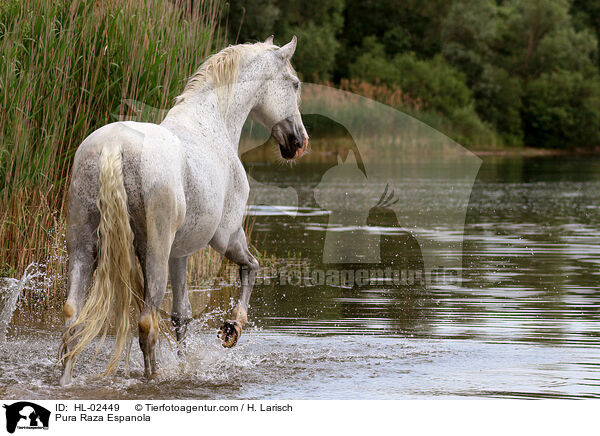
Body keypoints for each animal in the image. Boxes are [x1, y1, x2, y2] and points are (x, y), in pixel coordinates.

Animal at [58, 37, 308, 384]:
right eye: (295, 84)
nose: (299, 142)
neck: (211, 125)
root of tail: (113, 147)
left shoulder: (181, 253)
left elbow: (182, 316)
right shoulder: (227, 237)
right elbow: (252, 267)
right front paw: (232, 329)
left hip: (83, 248)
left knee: (72, 319)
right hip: (154, 255)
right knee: (146, 325)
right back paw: (153, 378)